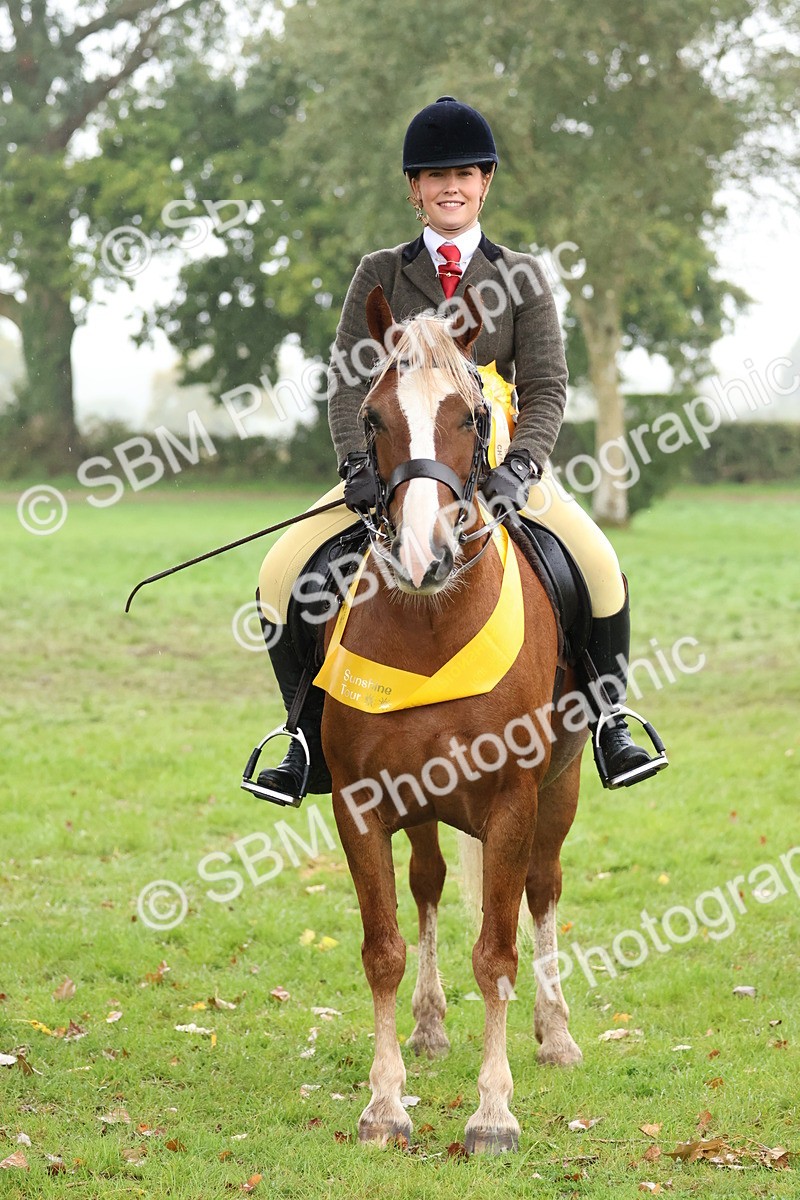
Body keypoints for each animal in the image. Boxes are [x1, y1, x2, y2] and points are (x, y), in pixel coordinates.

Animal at [320, 285, 587, 1155]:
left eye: (471, 416)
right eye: (372, 418)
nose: (422, 556)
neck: (432, 621)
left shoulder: (511, 801)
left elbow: (497, 954)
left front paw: (493, 1114)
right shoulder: (360, 802)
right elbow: (382, 950)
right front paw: (385, 1105)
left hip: (560, 790)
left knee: (542, 890)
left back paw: (557, 1033)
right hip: (427, 803)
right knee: (430, 882)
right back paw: (431, 1026)